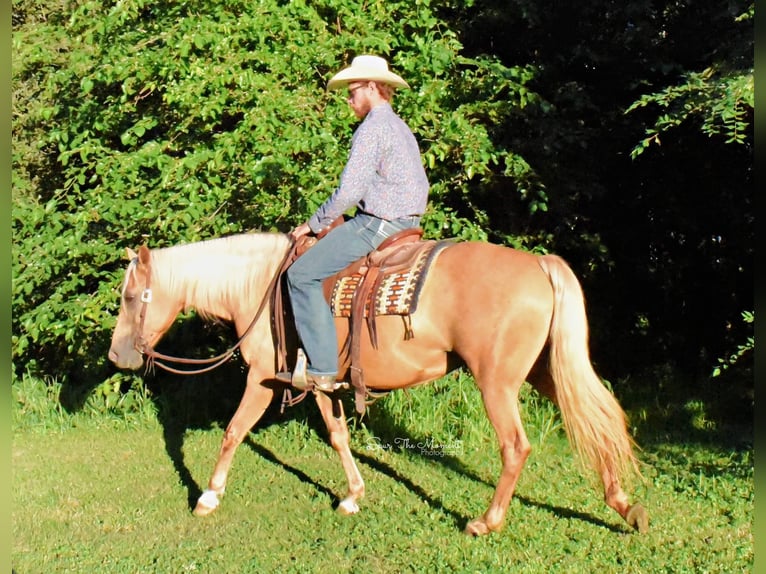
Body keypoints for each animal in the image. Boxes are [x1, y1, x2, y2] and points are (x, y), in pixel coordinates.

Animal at [108, 232, 648, 536]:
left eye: (132, 297)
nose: (116, 355)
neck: (260, 285)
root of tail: (538, 263)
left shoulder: (262, 379)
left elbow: (233, 432)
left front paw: (208, 496)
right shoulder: (322, 383)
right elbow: (338, 435)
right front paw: (352, 494)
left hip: (497, 382)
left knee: (516, 446)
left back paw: (486, 522)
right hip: (544, 371)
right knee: (593, 422)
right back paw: (626, 507)